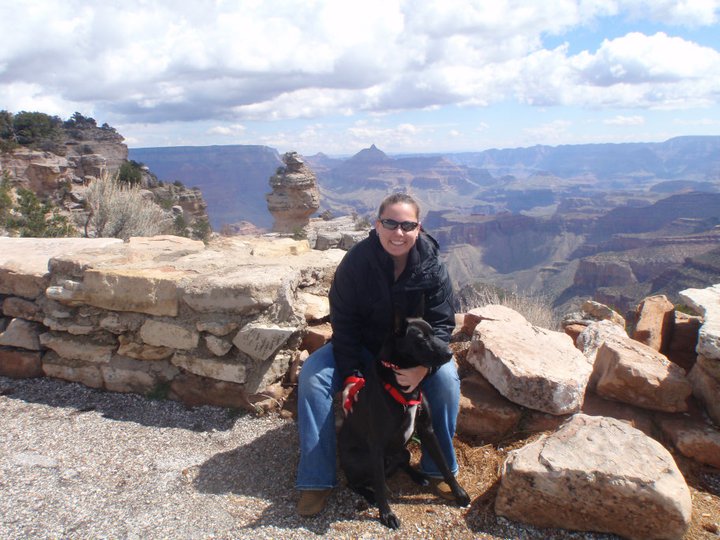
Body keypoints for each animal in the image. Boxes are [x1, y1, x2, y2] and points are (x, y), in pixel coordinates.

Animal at [337, 318, 470, 529]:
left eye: (434, 333)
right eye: (421, 339)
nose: (450, 353)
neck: (403, 387)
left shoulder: (427, 431)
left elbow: (444, 466)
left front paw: (459, 493)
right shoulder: (377, 445)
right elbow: (381, 486)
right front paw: (387, 514)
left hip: (403, 451)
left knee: (401, 463)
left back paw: (419, 476)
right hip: (363, 461)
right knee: (356, 483)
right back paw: (370, 495)